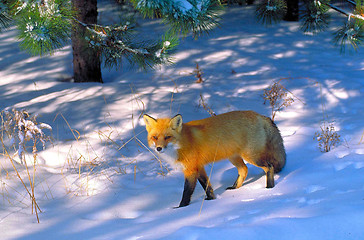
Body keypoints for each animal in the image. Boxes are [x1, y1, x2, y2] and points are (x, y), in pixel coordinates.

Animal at [144, 111, 286, 207]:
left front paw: (181, 208)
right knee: (244, 170)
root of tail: (259, 115)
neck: (182, 143)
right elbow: (207, 187)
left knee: (269, 167)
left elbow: (187, 192)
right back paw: (235, 188)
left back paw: (269, 188)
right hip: (234, 157)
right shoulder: (199, 167)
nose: (159, 148)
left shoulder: (191, 169)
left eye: (167, 137)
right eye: (155, 137)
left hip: (252, 156)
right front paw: (211, 200)